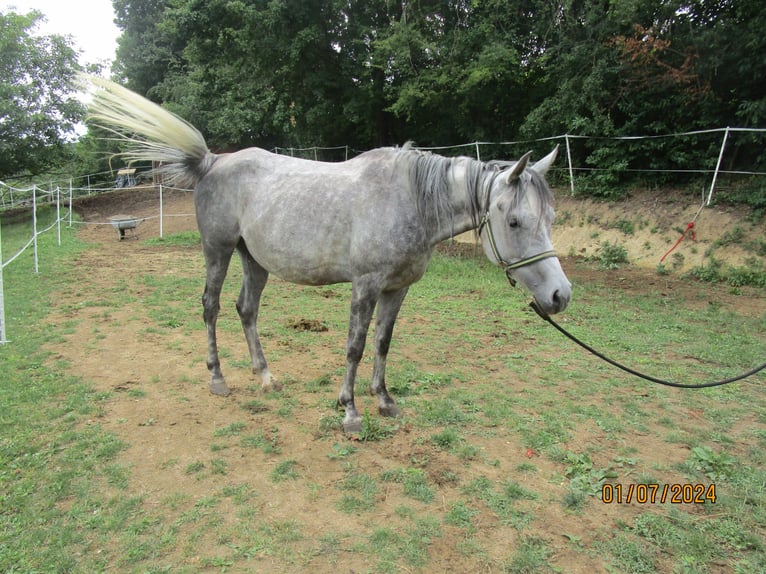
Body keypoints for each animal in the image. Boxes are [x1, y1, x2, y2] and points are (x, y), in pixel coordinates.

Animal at [87, 79, 572, 434]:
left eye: (551, 216)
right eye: (514, 222)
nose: (560, 295)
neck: (408, 200)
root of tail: (212, 162)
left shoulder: (397, 289)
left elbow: (382, 342)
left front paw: (384, 400)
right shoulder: (366, 285)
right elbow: (355, 345)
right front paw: (350, 411)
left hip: (253, 259)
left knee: (247, 309)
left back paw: (265, 376)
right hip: (218, 251)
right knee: (211, 307)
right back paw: (218, 379)